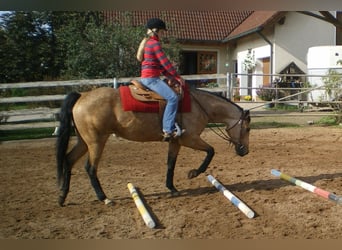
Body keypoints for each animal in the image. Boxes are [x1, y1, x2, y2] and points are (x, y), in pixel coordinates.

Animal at [56, 85, 251, 206]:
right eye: (247, 128)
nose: (245, 151)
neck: (198, 105)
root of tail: (82, 96)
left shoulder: (175, 142)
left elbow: (171, 164)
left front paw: (172, 188)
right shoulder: (189, 139)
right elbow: (211, 151)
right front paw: (193, 173)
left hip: (84, 142)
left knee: (68, 160)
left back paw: (62, 197)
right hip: (96, 142)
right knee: (90, 168)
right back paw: (104, 198)